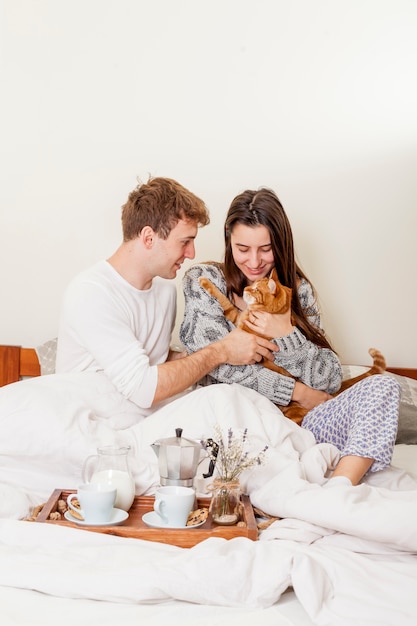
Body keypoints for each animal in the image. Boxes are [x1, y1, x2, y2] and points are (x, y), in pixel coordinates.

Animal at [200, 268, 386, 424]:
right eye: (252, 284)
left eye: (256, 289)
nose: (246, 288)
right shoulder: (237, 316)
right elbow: (224, 301)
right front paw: (205, 282)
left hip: (294, 414)